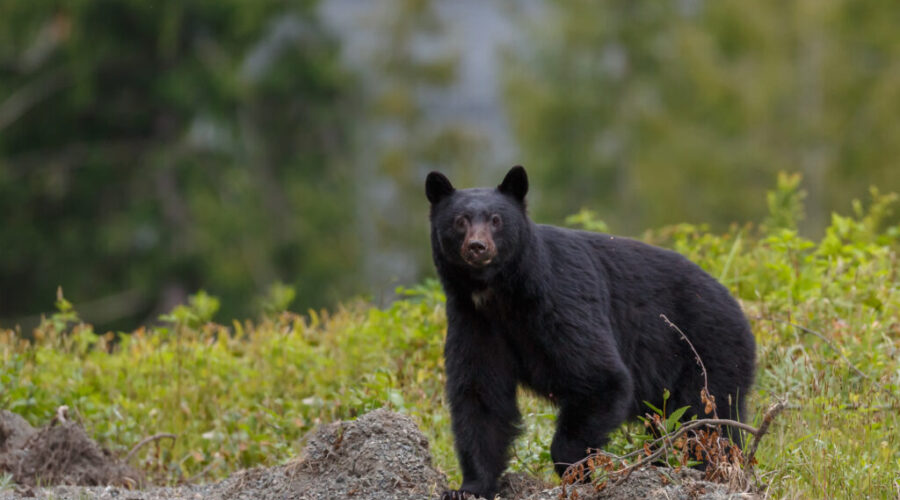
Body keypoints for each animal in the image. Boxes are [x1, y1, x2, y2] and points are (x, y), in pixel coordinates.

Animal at [425, 166, 756, 500]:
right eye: (460, 220)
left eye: (496, 220)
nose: (477, 247)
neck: (501, 294)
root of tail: (739, 308)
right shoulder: (474, 321)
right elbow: (481, 397)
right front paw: (469, 487)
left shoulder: (561, 300)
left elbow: (600, 377)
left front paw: (575, 471)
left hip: (707, 353)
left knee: (706, 420)